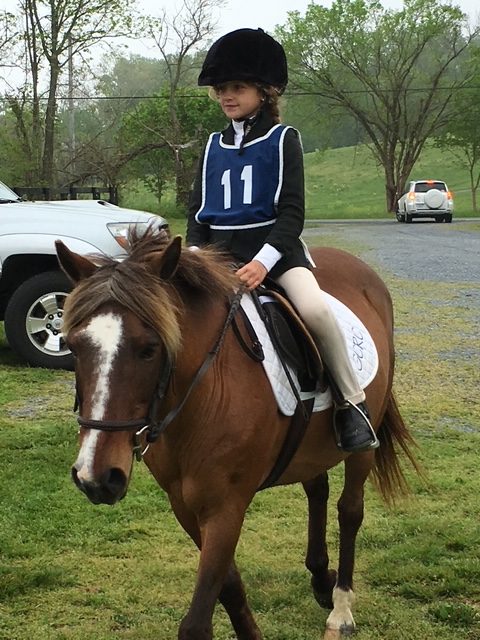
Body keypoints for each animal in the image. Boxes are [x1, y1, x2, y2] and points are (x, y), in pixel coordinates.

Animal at [55, 229, 419, 640]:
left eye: (149, 349)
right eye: (72, 346)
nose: (96, 477)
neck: (204, 392)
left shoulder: (225, 506)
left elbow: (197, 621)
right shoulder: (185, 505)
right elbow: (228, 584)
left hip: (363, 446)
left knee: (350, 510)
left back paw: (340, 606)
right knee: (317, 491)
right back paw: (321, 579)